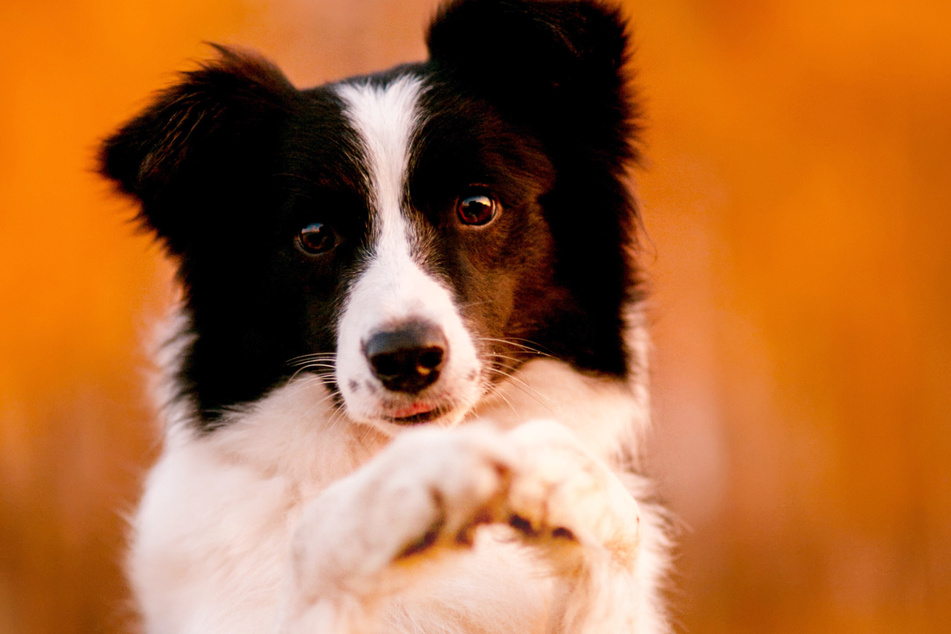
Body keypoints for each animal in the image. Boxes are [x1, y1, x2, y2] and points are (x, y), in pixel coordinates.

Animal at [98, 1, 668, 628]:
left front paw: (562, 478)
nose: (406, 358)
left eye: (476, 206)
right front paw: (415, 486)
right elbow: (312, 546)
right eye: (314, 235)